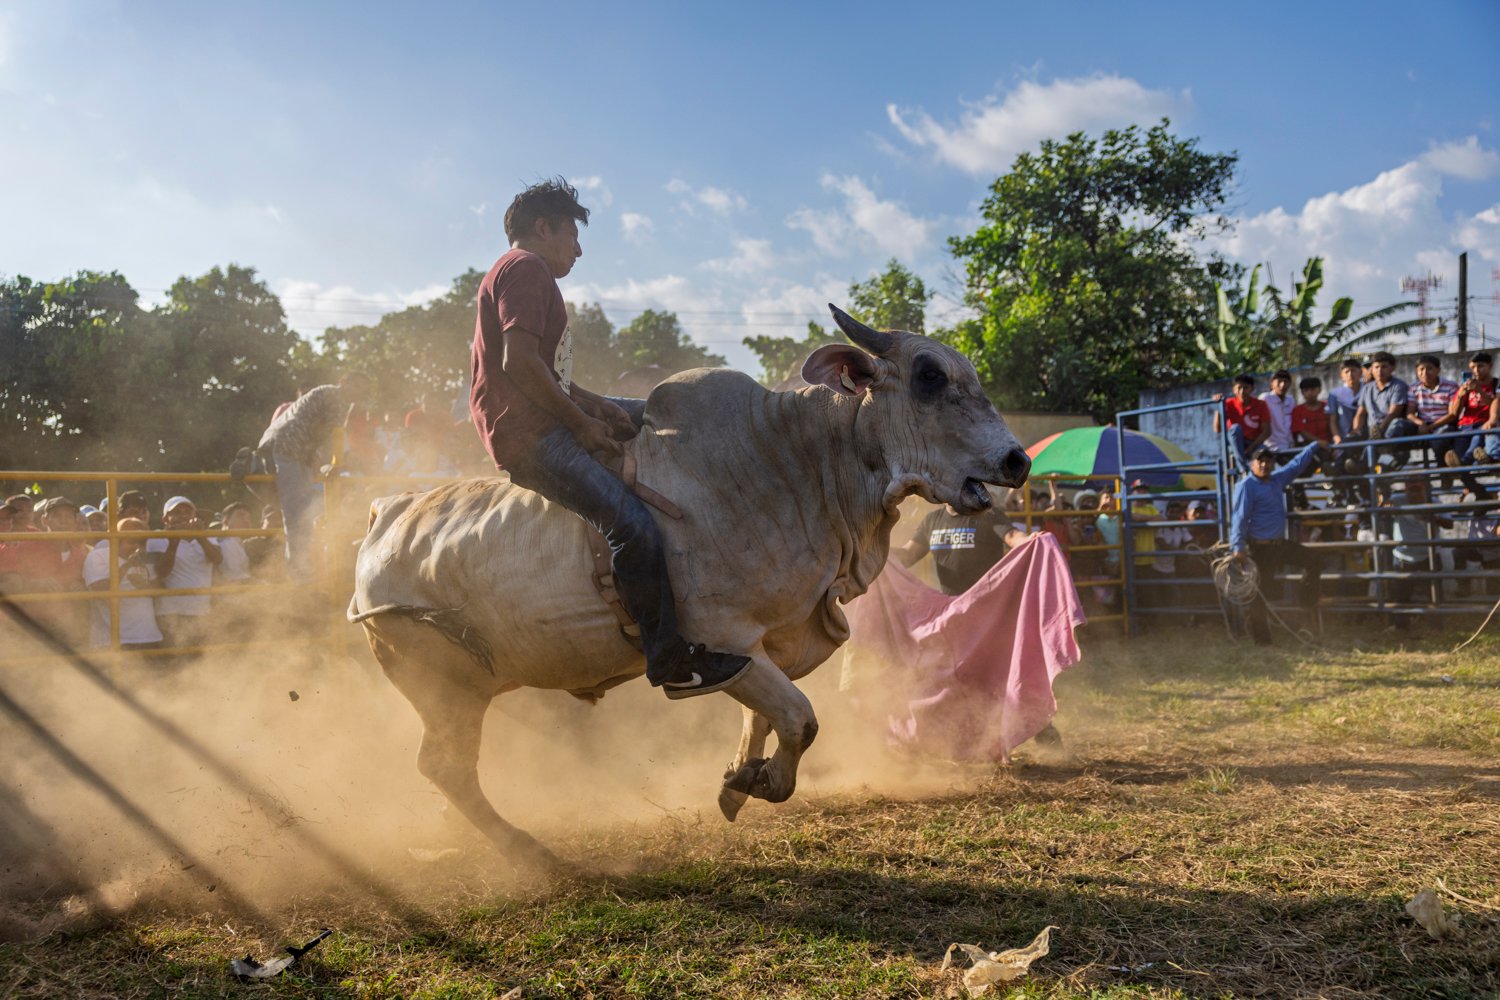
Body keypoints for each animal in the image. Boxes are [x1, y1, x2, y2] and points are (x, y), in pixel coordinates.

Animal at [349, 305, 1030, 867]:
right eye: (929, 376)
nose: (1018, 460)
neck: (794, 459)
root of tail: (385, 514)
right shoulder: (718, 636)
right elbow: (801, 719)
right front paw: (762, 782)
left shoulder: (759, 647)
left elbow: (765, 719)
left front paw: (740, 778)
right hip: (444, 688)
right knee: (445, 768)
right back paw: (528, 851)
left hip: (464, 689)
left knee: (448, 772)